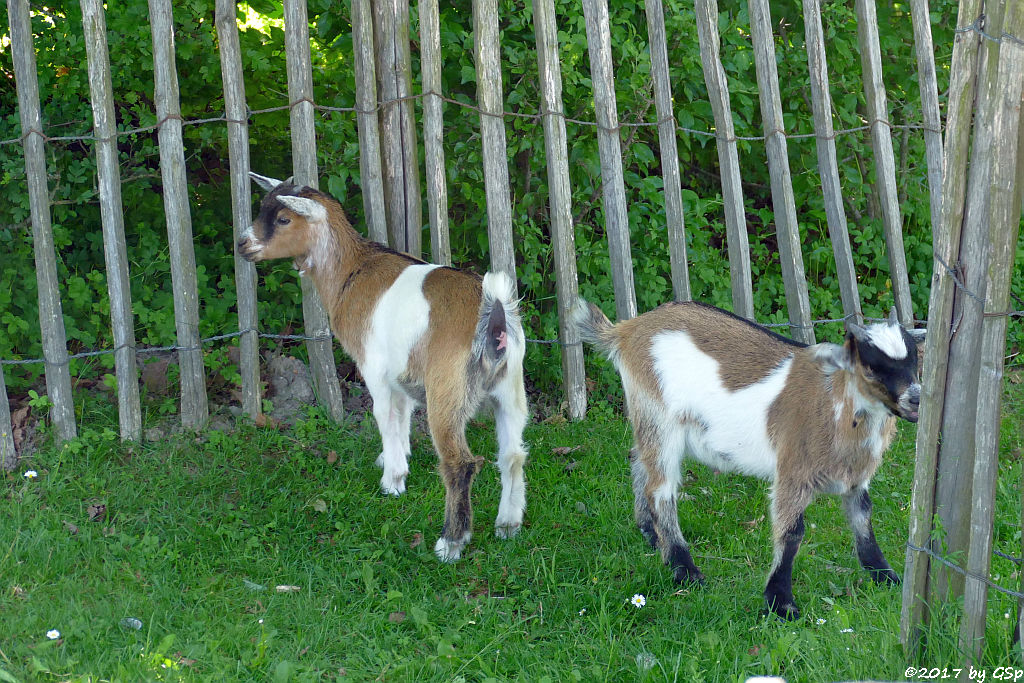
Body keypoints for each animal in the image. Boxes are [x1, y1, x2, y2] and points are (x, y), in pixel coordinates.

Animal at [237, 175, 528, 561]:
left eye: (284, 219)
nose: (242, 244)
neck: (351, 270)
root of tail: (494, 319)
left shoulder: (373, 367)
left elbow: (384, 416)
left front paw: (392, 481)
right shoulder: (400, 372)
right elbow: (402, 415)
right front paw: (396, 460)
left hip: (448, 391)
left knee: (460, 463)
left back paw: (450, 542)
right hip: (509, 389)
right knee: (512, 455)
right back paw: (508, 525)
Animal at [573, 299, 925, 618]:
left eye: (914, 362)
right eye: (871, 367)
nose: (916, 400)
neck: (835, 406)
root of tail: (627, 330)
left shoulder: (855, 477)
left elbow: (863, 518)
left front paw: (885, 576)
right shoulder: (793, 470)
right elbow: (792, 532)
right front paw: (780, 603)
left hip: (648, 422)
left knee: (638, 458)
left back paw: (649, 532)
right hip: (660, 417)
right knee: (661, 490)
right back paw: (685, 571)